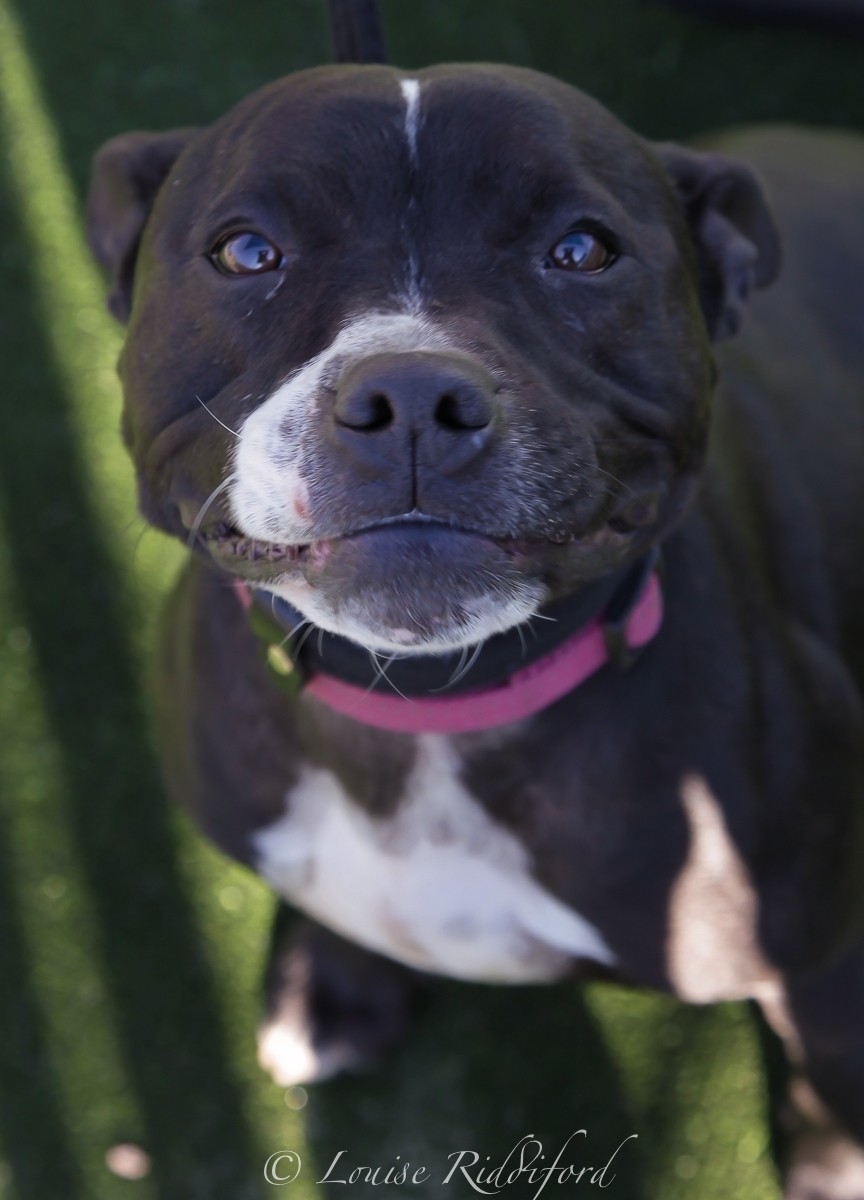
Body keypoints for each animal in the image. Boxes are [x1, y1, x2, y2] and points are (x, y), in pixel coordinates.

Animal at [86, 60, 864, 1197]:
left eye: (582, 250)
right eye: (246, 251)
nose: (411, 395)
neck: (427, 710)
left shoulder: (824, 955)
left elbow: (828, 1079)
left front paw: (832, 1165)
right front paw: (341, 981)